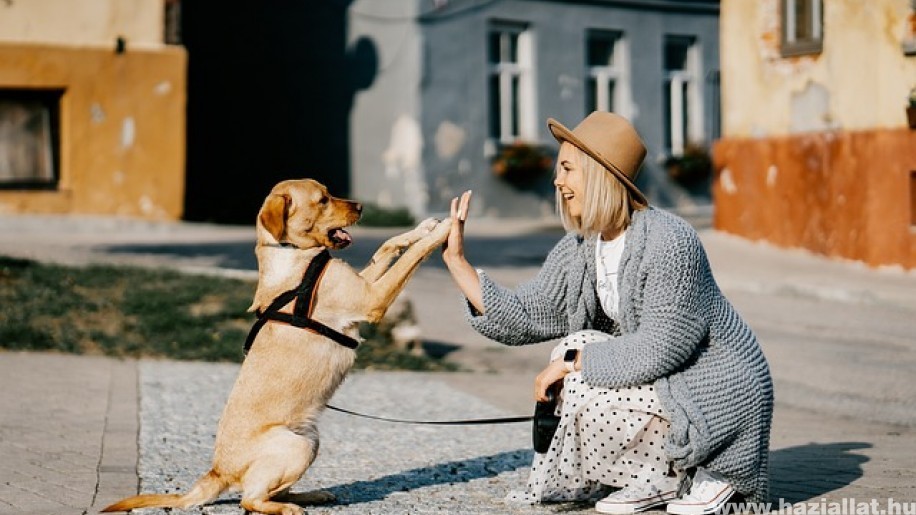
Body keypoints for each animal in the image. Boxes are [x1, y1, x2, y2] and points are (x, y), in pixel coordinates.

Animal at [102, 178, 452, 515]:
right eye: (322, 200)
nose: (362, 206)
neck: (293, 253)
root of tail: (218, 471)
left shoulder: (364, 284)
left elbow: (387, 245)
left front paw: (424, 228)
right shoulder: (371, 299)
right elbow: (411, 257)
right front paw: (445, 229)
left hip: (310, 440)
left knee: (270, 491)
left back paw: (311, 496)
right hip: (296, 446)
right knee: (250, 499)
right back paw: (287, 507)